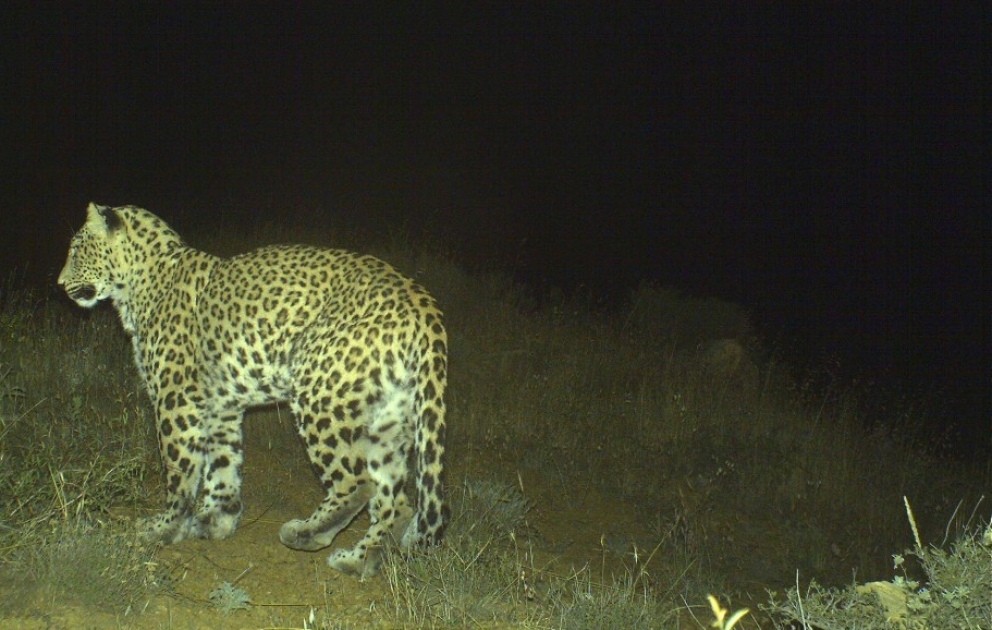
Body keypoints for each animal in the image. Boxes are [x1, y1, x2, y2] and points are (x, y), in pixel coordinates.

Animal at [58, 202, 447, 578]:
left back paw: (307, 533)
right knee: (397, 500)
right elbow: (223, 464)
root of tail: (422, 302)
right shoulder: (221, 406)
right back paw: (360, 559)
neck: (137, 284)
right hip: (387, 419)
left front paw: (165, 528)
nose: (60, 284)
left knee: (359, 482)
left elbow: (180, 470)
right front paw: (216, 520)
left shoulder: (176, 399)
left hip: (319, 395)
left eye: (76, 250)